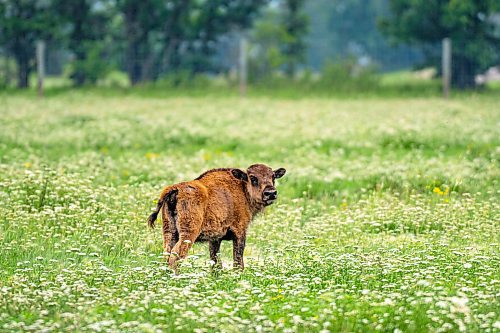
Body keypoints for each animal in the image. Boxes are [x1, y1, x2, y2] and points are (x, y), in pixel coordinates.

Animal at [147, 162, 286, 272]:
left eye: (273, 176)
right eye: (253, 178)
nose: (271, 193)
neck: (242, 189)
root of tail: (175, 189)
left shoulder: (215, 239)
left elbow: (215, 262)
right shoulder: (240, 232)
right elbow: (238, 260)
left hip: (169, 232)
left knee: (166, 255)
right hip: (188, 234)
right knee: (175, 256)